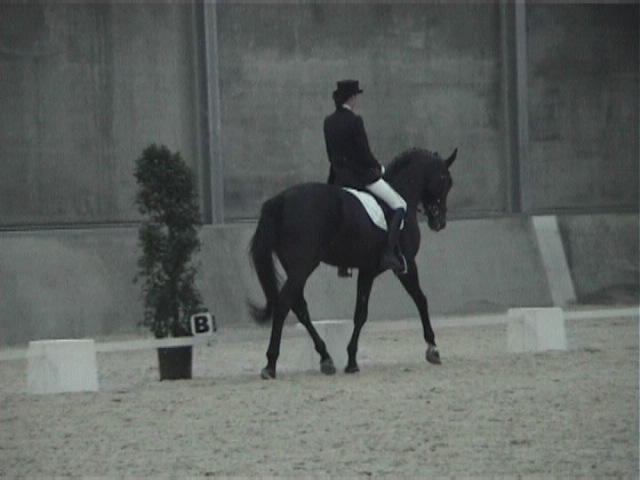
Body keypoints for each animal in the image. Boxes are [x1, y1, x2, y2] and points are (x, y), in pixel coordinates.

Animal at [248, 147, 457, 379]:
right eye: (445, 179)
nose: (439, 222)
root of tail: (280, 199)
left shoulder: (367, 271)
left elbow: (360, 314)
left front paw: (351, 361)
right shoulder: (407, 265)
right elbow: (420, 300)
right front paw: (433, 348)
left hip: (295, 268)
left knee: (299, 307)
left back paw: (326, 359)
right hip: (303, 266)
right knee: (284, 304)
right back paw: (270, 364)